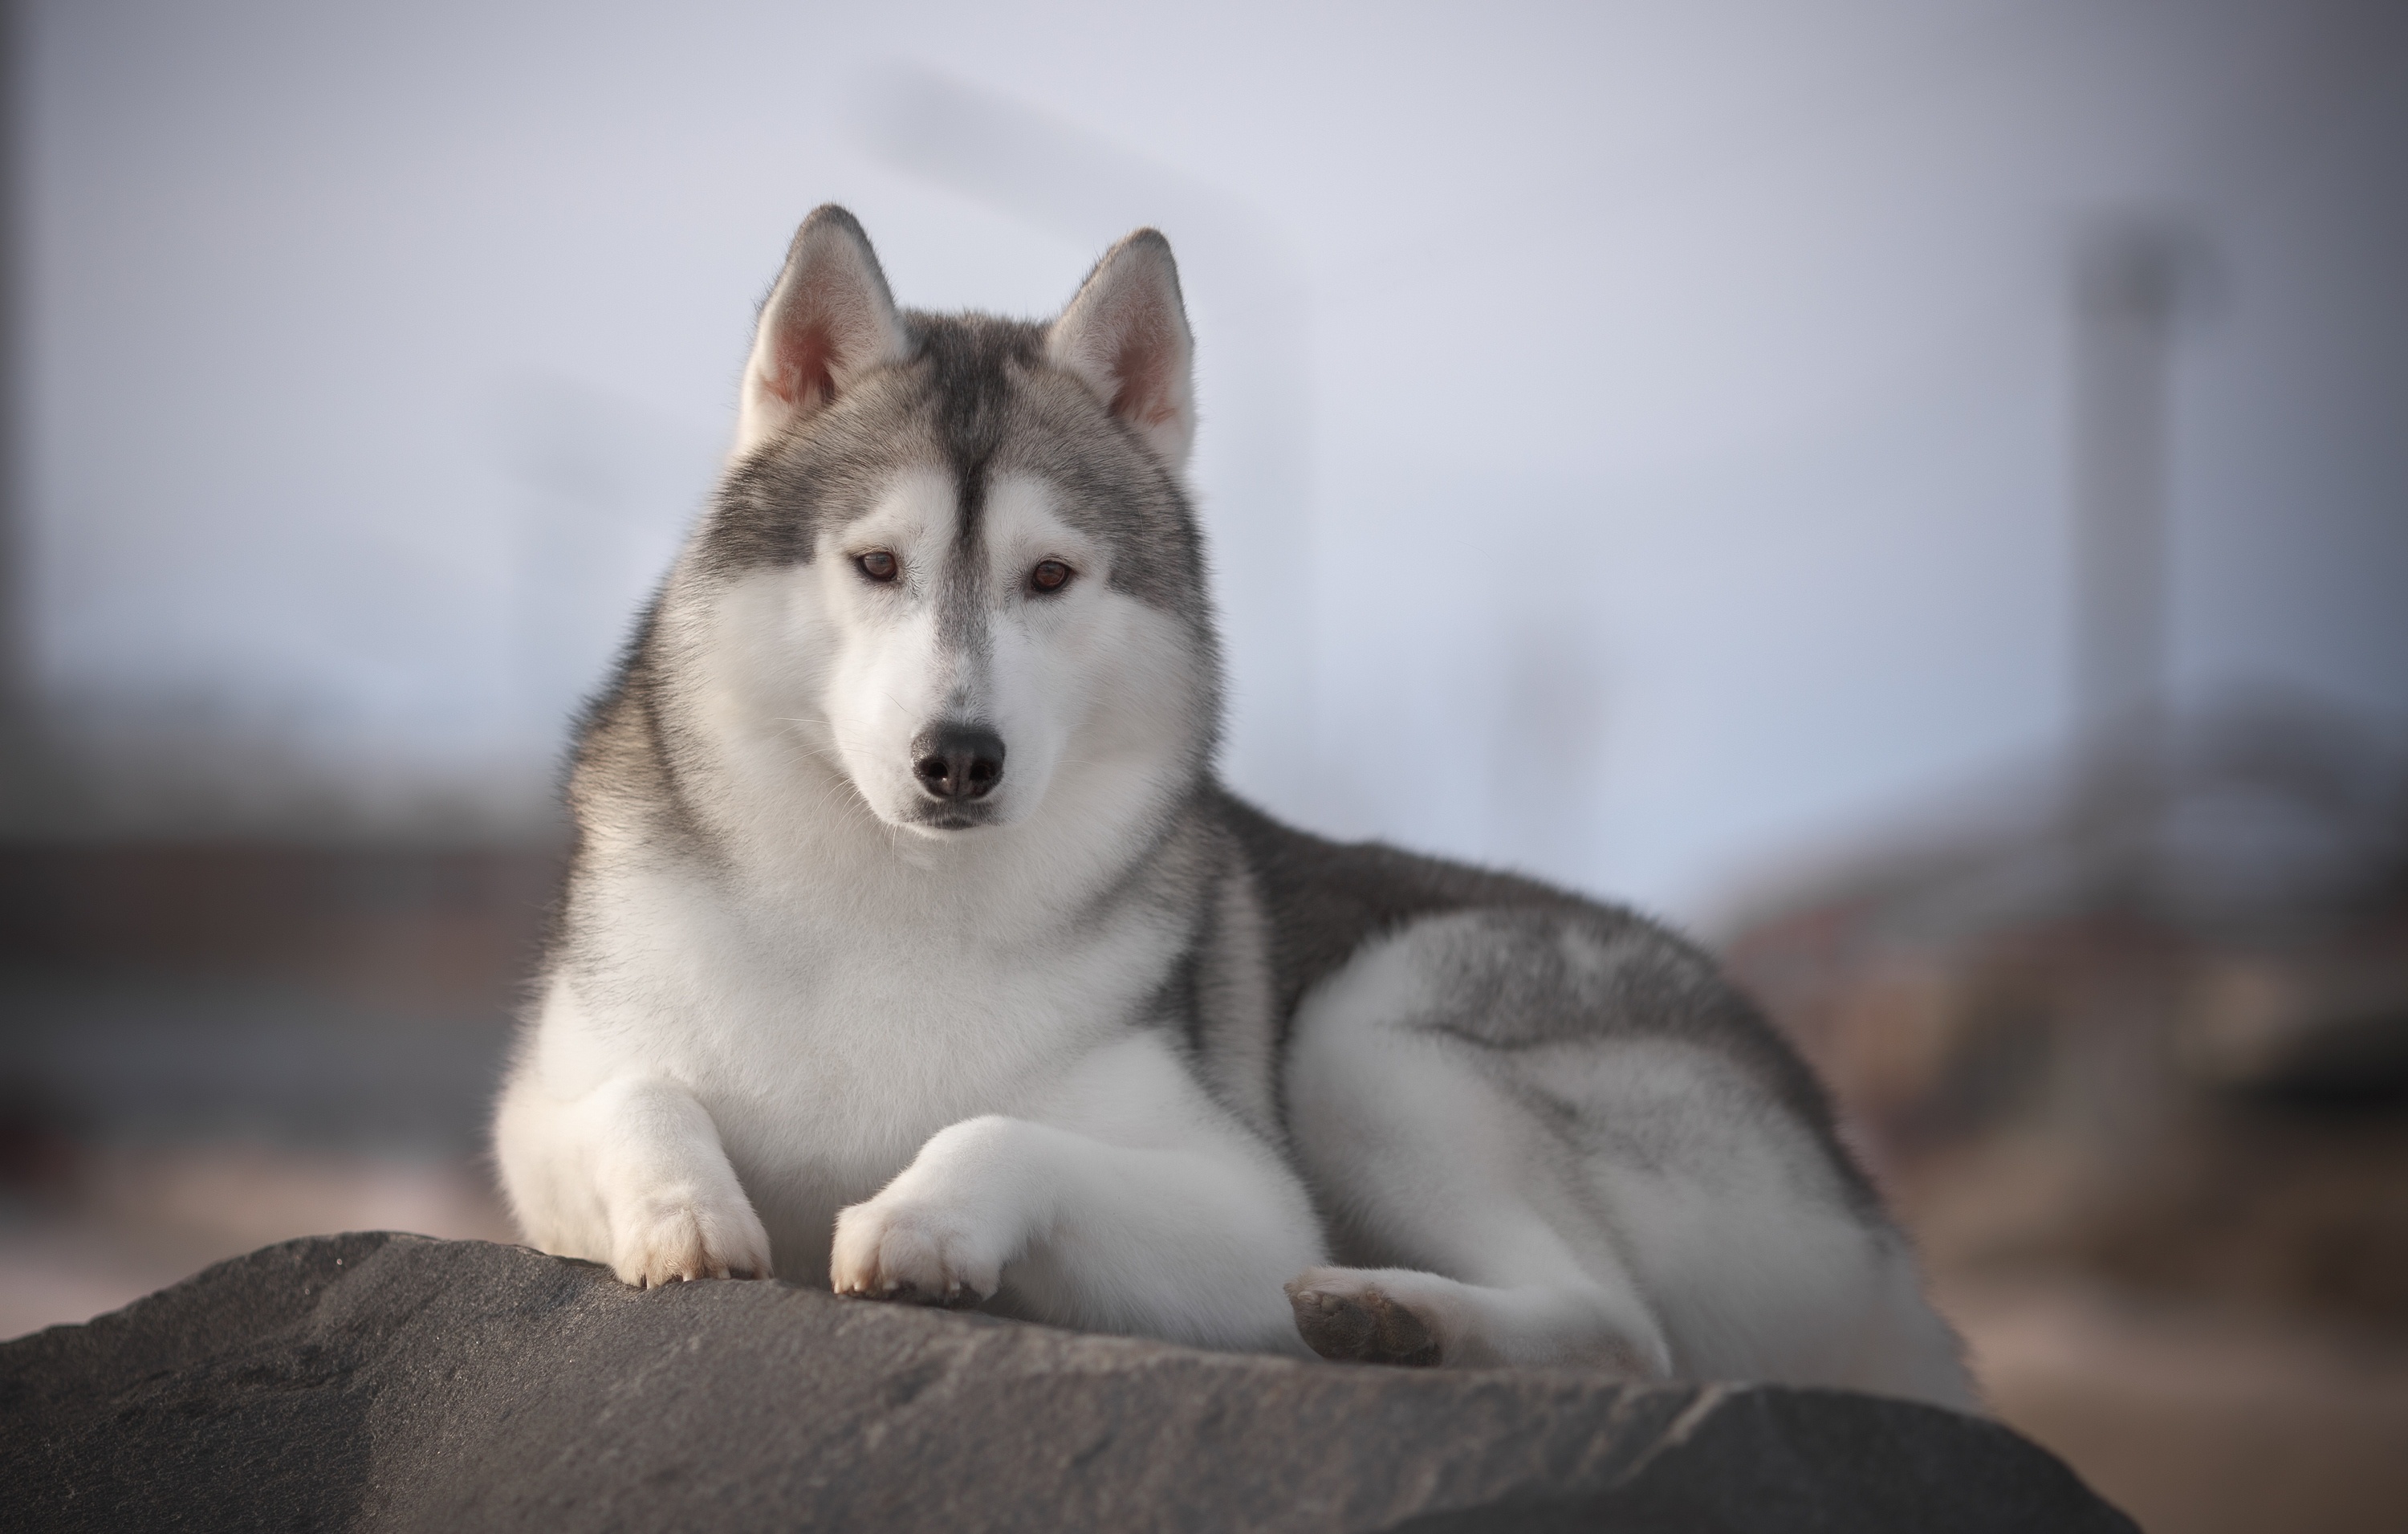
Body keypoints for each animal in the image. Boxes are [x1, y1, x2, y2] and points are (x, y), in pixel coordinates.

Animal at [494, 210, 1975, 1406]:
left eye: (1049, 575)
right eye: (875, 564)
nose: (957, 756)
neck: (890, 906)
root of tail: (1886, 1241)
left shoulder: (1247, 1208)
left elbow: (1006, 1131)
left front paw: (926, 1217)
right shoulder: (538, 1110)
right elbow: (629, 1099)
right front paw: (686, 1212)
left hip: (1375, 1029)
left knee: (1620, 1330)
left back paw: (1390, 1316)